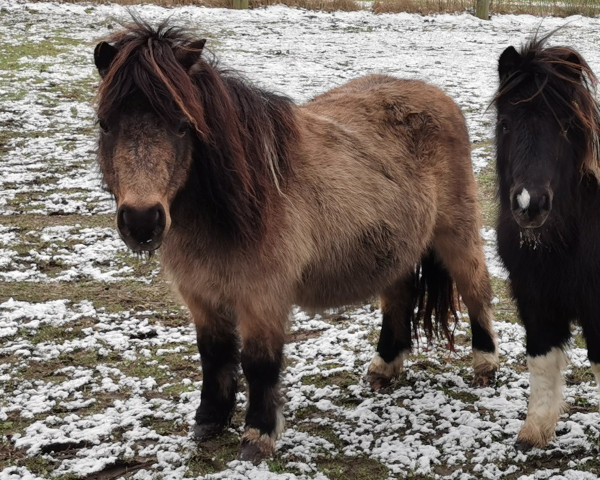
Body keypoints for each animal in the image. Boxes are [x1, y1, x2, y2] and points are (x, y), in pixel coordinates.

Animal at [92, 21, 496, 462]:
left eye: (183, 125)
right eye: (105, 124)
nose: (142, 220)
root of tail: (437, 96)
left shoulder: (263, 295)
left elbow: (259, 364)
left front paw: (258, 435)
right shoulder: (200, 294)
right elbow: (213, 355)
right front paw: (209, 421)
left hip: (456, 233)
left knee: (475, 288)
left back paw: (485, 366)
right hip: (397, 245)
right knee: (399, 297)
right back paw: (384, 368)